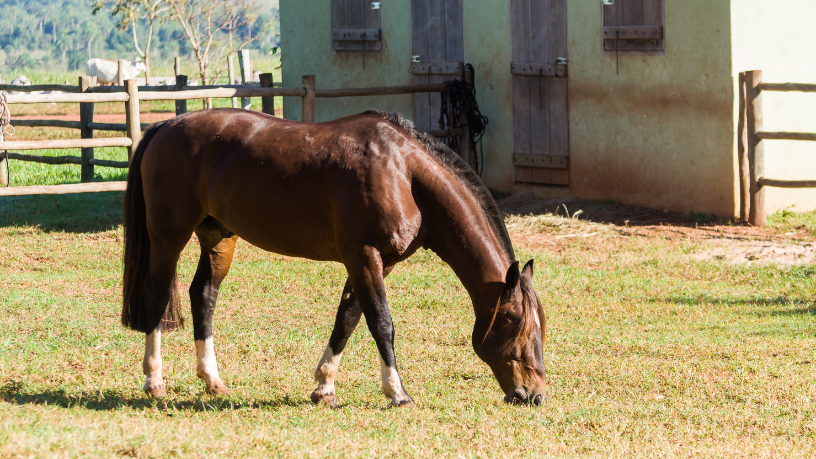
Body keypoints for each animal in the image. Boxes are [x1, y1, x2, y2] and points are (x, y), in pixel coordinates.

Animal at [122, 109, 548, 408]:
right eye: (517, 324)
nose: (535, 394)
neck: (402, 173)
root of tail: (166, 125)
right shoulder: (363, 257)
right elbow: (381, 323)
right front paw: (397, 392)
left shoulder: (377, 262)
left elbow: (348, 318)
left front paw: (324, 386)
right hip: (168, 238)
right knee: (157, 297)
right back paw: (154, 381)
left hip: (218, 237)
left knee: (203, 296)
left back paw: (212, 380)